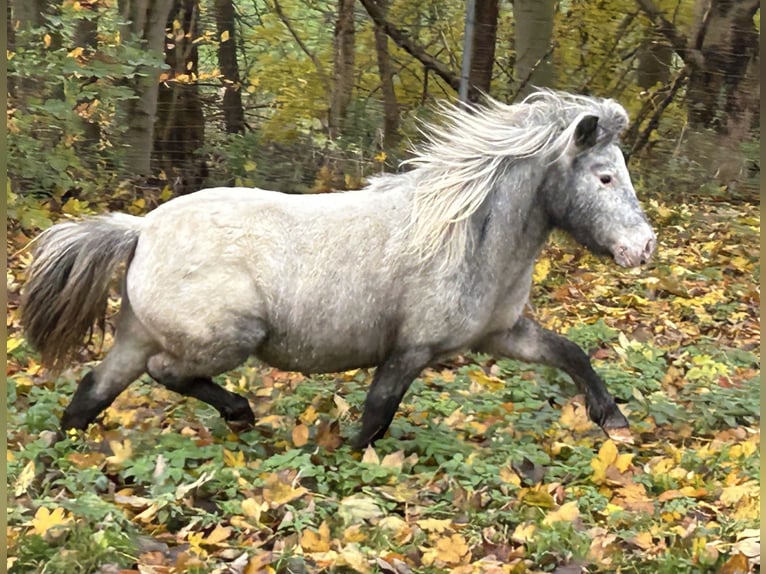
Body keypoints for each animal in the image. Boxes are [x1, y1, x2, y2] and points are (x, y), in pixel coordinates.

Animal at [24, 90, 660, 450]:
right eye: (604, 176)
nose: (644, 248)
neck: (465, 233)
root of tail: (142, 230)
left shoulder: (502, 335)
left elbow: (572, 354)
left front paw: (614, 421)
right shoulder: (411, 348)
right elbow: (377, 415)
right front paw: (349, 467)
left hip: (136, 335)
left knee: (91, 393)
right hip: (226, 337)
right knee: (166, 374)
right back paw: (241, 415)